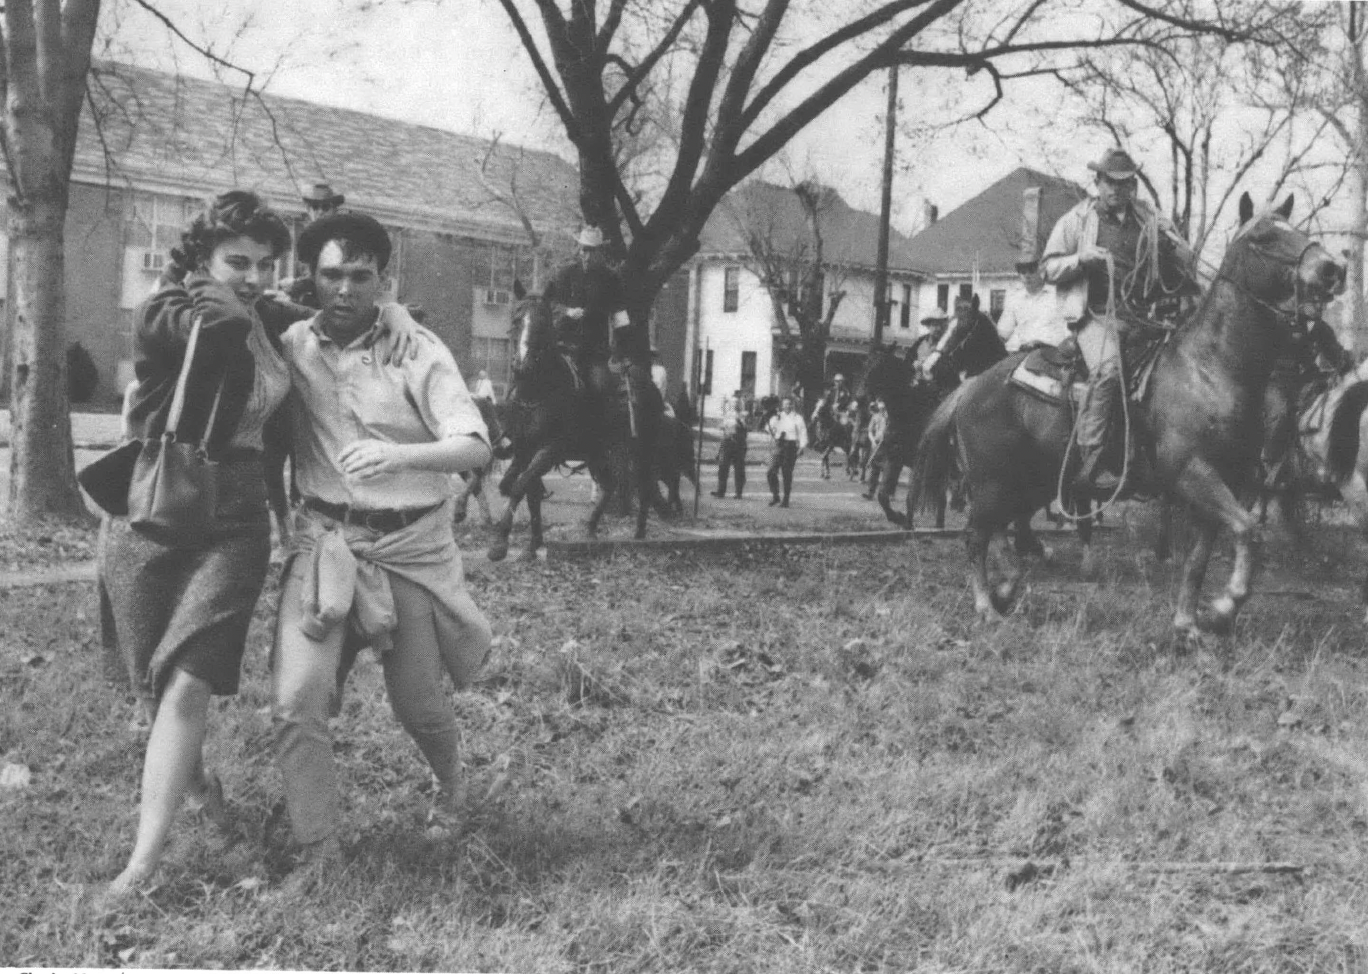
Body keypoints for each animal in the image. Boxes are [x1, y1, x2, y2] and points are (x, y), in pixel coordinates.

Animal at [492, 287, 662, 563]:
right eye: (516, 320)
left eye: (544, 323)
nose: (522, 366)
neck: (538, 391)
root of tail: (650, 385)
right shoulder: (525, 450)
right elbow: (526, 492)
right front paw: (532, 546)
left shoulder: (549, 450)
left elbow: (519, 486)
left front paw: (499, 544)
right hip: (598, 453)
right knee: (609, 485)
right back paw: (591, 529)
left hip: (641, 449)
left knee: (644, 486)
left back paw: (639, 533)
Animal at [913, 195, 1340, 640]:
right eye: (1264, 237)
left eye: (1296, 230)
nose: (1331, 268)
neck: (1209, 369)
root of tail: (969, 388)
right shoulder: (1192, 473)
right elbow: (1249, 532)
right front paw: (1223, 609)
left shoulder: (1224, 482)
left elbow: (1201, 558)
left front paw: (1189, 624)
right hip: (994, 480)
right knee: (976, 535)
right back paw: (986, 607)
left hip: (1028, 481)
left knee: (999, 528)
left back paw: (1006, 588)